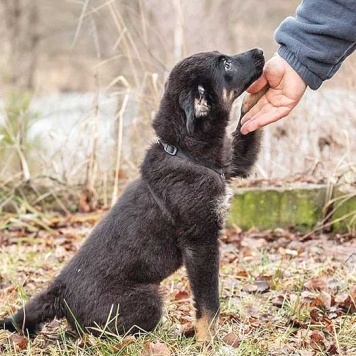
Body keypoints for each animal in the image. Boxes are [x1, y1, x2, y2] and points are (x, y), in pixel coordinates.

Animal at [1, 48, 264, 344]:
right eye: (226, 64)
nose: (260, 52)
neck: (184, 152)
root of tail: (61, 291)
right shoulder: (200, 240)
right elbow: (208, 301)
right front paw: (207, 339)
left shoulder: (233, 164)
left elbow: (247, 127)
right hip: (148, 299)